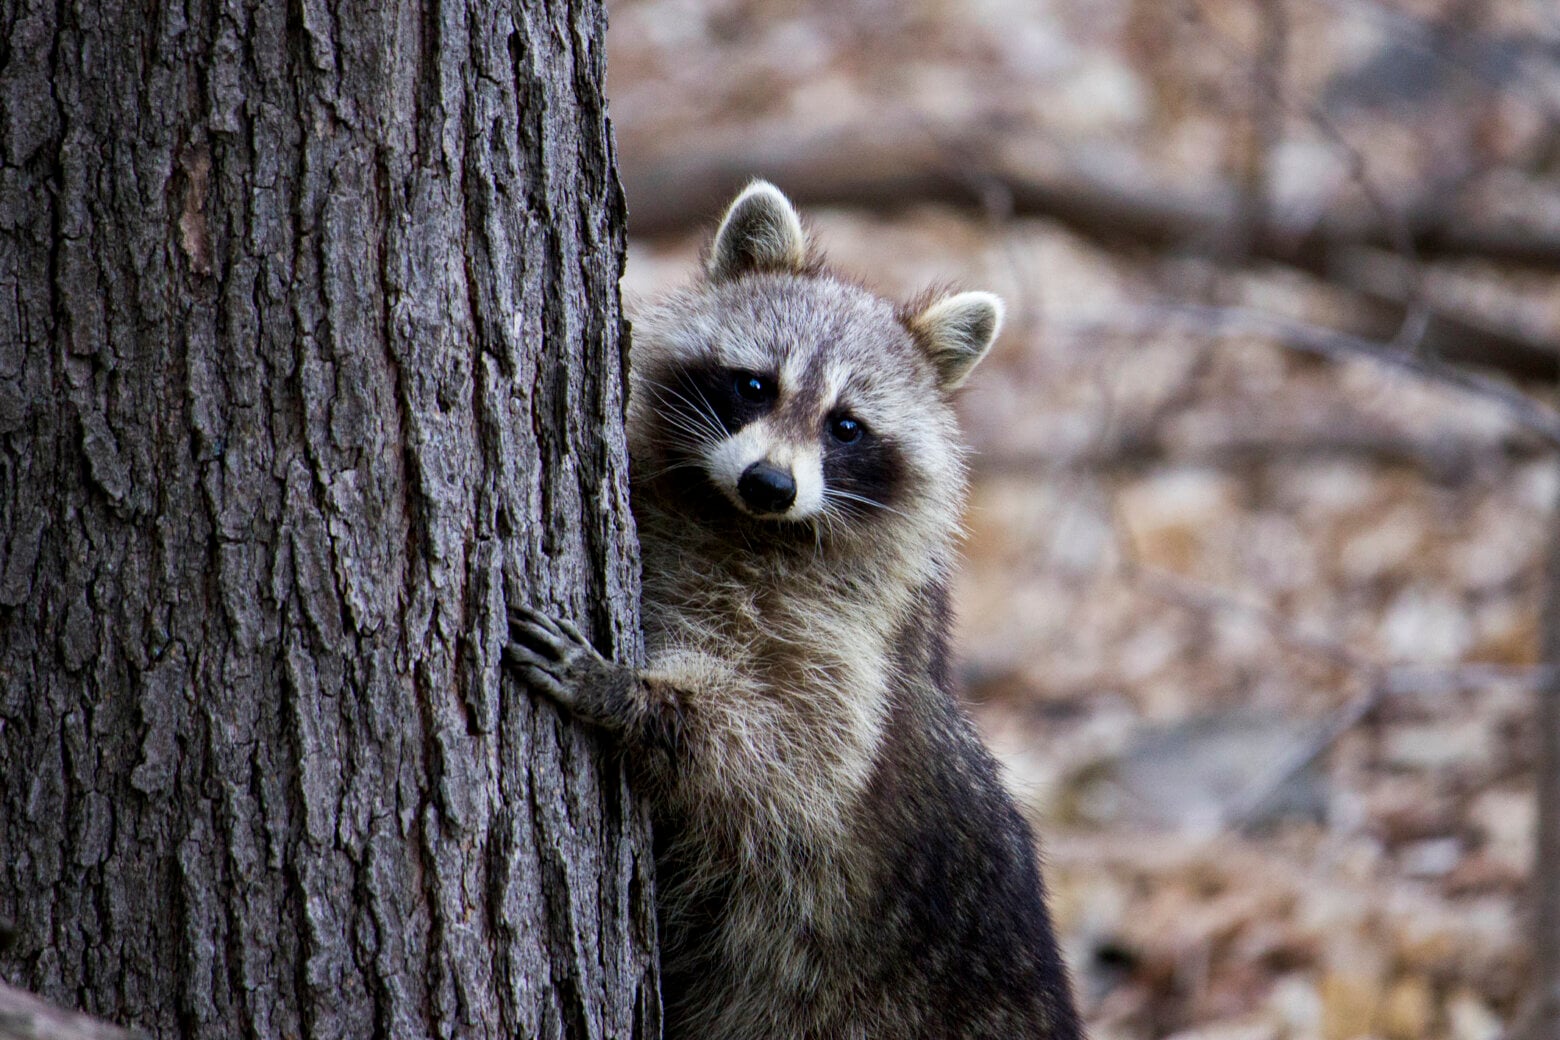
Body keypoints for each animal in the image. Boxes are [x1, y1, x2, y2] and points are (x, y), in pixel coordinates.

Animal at [508, 182, 1081, 1040]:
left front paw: (635, 699)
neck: (738, 524)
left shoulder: (852, 646)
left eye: (845, 425)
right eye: (755, 386)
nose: (770, 484)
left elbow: (789, 756)